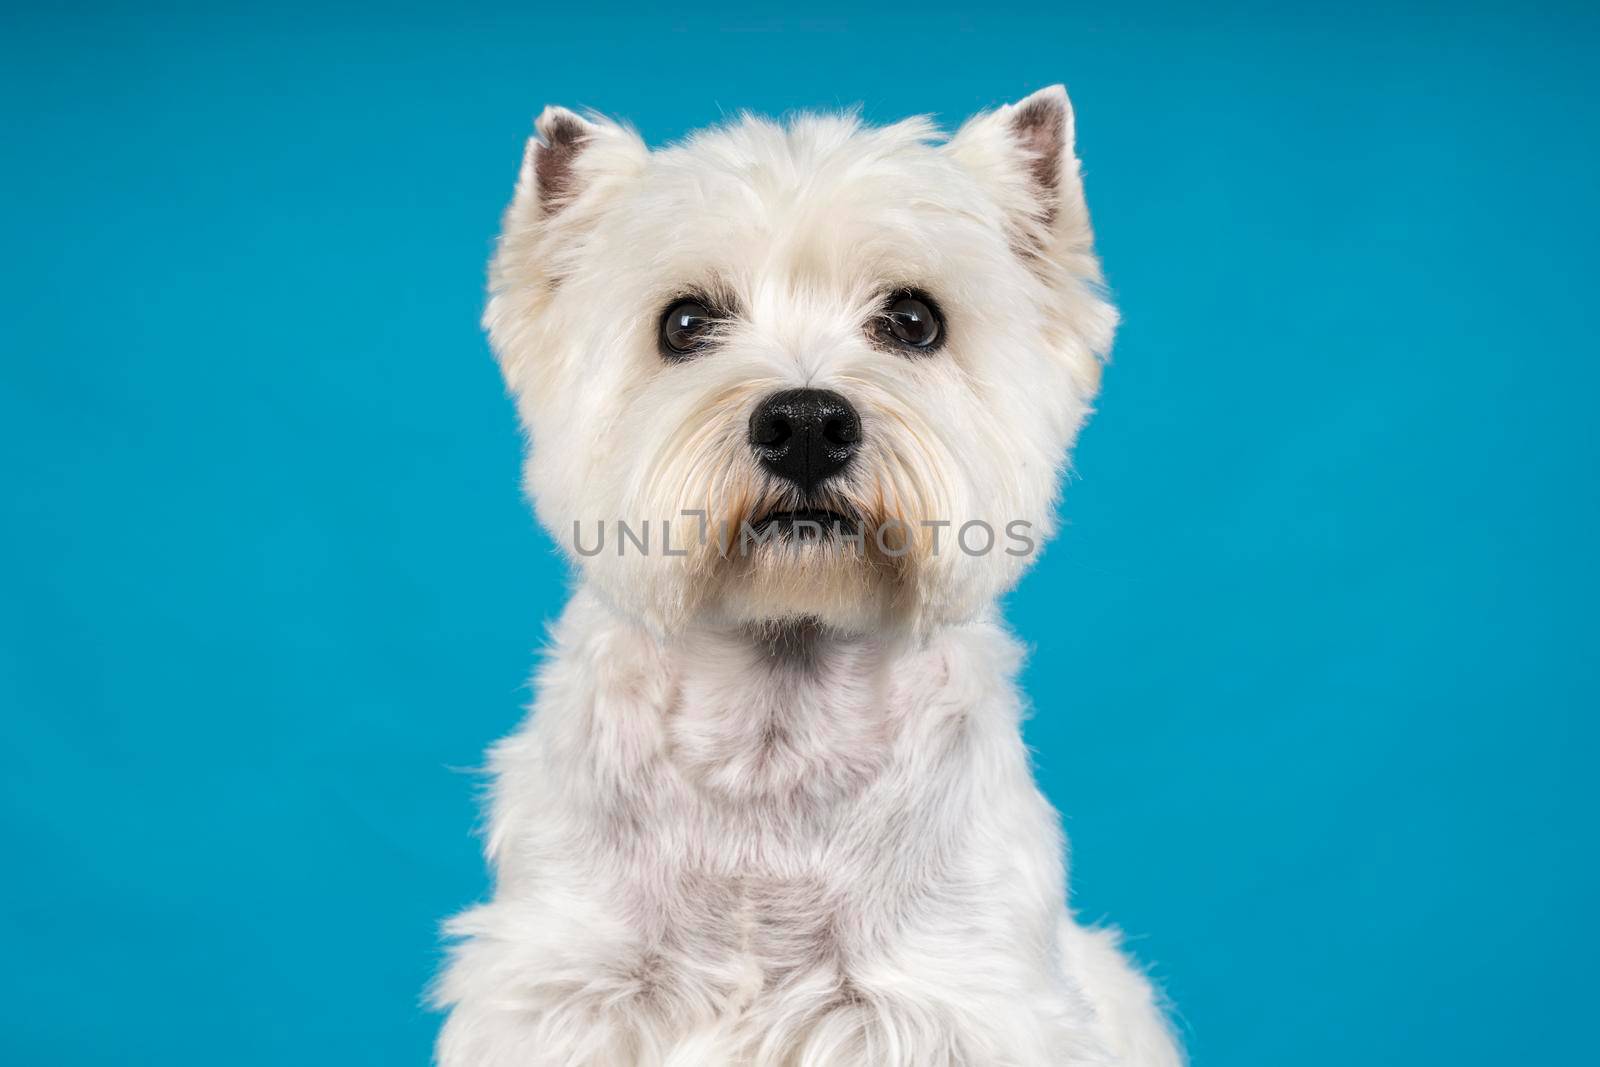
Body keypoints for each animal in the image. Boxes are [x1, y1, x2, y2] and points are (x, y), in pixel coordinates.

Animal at [432, 85, 1184, 1067]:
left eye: (915, 320)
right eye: (683, 323)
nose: (805, 425)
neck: (774, 733)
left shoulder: (953, 997)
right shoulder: (567, 984)